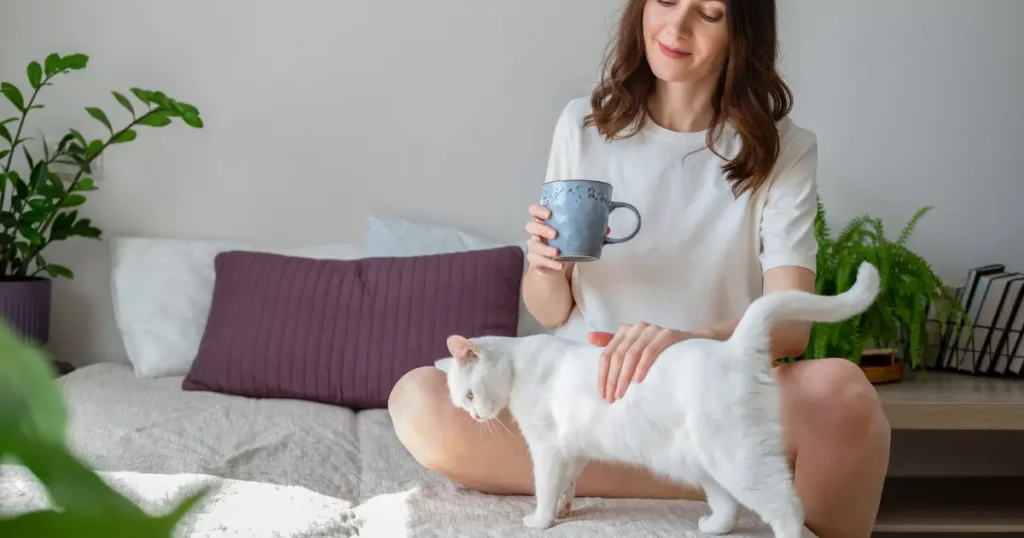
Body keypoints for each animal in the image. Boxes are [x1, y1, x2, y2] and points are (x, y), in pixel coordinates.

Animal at [432, 261, 880, 536]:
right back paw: (713, 526)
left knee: (788, 508)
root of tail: (734, 346)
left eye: (469, 395)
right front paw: (564, 509)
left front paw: (541, 520)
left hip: (737, 457)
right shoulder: (573, 450)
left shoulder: (547, 448)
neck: (522, 364)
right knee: (730, 506)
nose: (474, 417)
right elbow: (568, 484)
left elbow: (544, 487)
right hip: (702, 463)